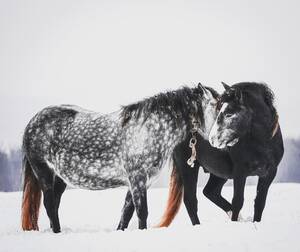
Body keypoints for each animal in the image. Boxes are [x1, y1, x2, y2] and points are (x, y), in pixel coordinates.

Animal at [156, 82, 284, 226]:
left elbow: (260, 203)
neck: (262, 144)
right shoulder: (240, 173)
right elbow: (238, 201)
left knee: (210, 192)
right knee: (191, 201)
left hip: (219, 173)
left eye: (229, 114)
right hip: (188, 167)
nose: (212, 139)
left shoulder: (269, 174)